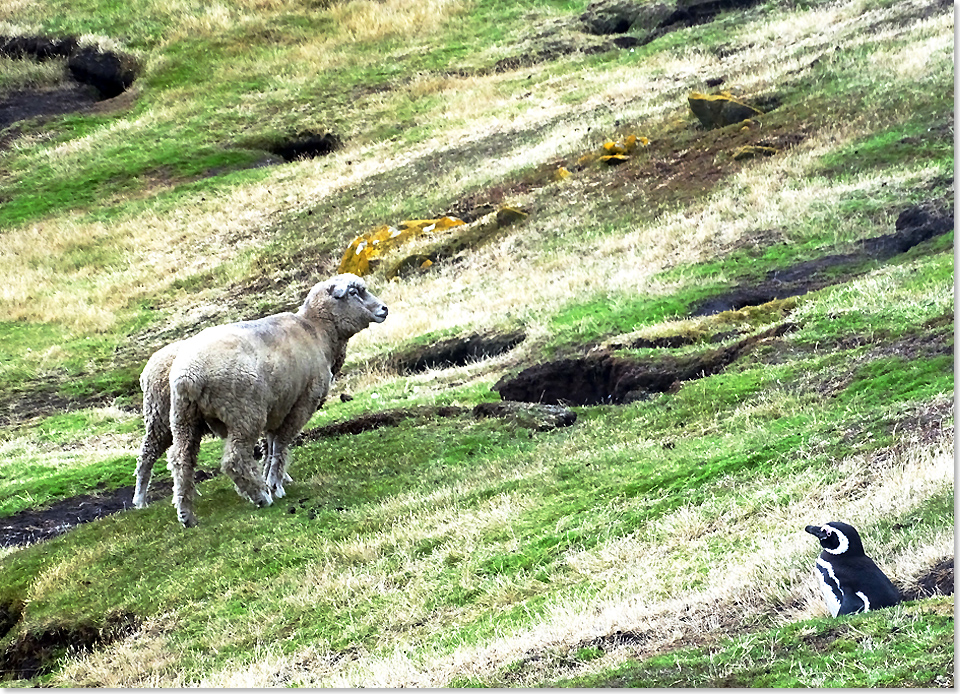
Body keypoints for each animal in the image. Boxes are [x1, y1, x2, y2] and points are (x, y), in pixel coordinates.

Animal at [132, 272, 386, 528]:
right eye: (354, 292)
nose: (384, 309)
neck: (317, 332)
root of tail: (188, 375)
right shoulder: (301, 404)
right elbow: (281, 445)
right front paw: (273, 484)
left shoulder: (278, 406)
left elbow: (271, 446)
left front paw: (273, 478)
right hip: (243, 413)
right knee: (232, 459)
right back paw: (259, 497)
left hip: (182, 417)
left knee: (178, 459)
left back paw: (185, 513)